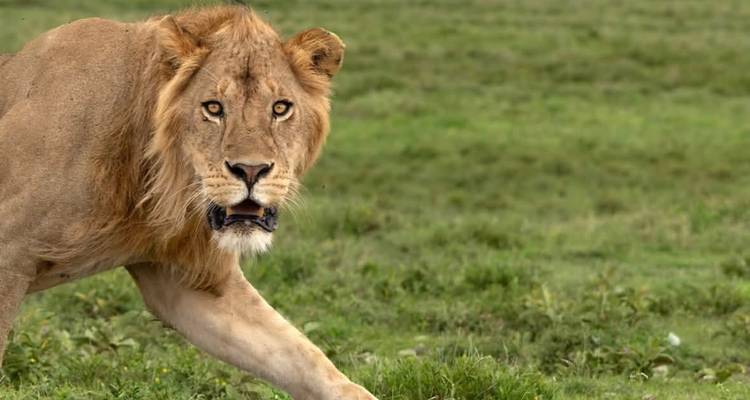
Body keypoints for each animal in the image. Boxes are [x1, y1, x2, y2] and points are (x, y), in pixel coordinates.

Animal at [0, 5, 377, 399]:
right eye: (213, 107)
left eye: (280, 108)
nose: (251, 170)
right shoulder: (9, 255)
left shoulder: (185, 279)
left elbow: (305, 358)